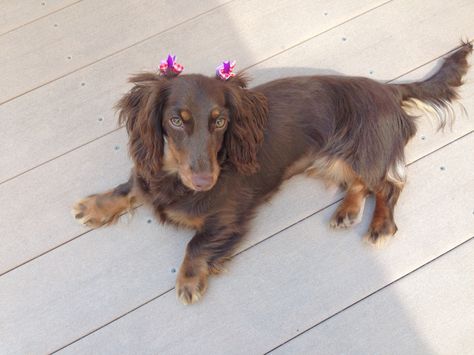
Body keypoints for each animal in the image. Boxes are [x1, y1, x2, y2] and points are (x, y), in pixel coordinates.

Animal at [72, 41, 472, 304]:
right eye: (175, 120)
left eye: (220, 121)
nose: (204, 182)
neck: (176, 176)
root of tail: (388, 89)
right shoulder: (149, 174)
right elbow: (130, 188)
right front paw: (94, 206)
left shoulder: (228, 218)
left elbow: (196, 243)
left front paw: (188, 280)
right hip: (333, 157)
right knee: (361, 183)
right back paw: (347, 211)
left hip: (361, 149)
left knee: (388, 185)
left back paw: (380, 226)